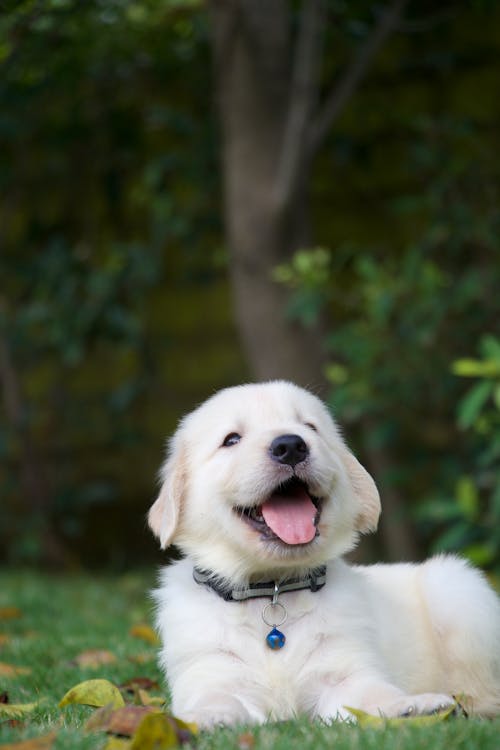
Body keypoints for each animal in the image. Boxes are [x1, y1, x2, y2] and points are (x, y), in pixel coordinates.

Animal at [148, 382, 500, 728]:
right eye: (231, 440)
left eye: (310, 427)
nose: (290, 445)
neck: (272, 589)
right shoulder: (211, 669)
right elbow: (216, 697)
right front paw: (202, 717)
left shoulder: (344, 673)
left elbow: (373, 694)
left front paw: (410, 706)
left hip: (456, 591)